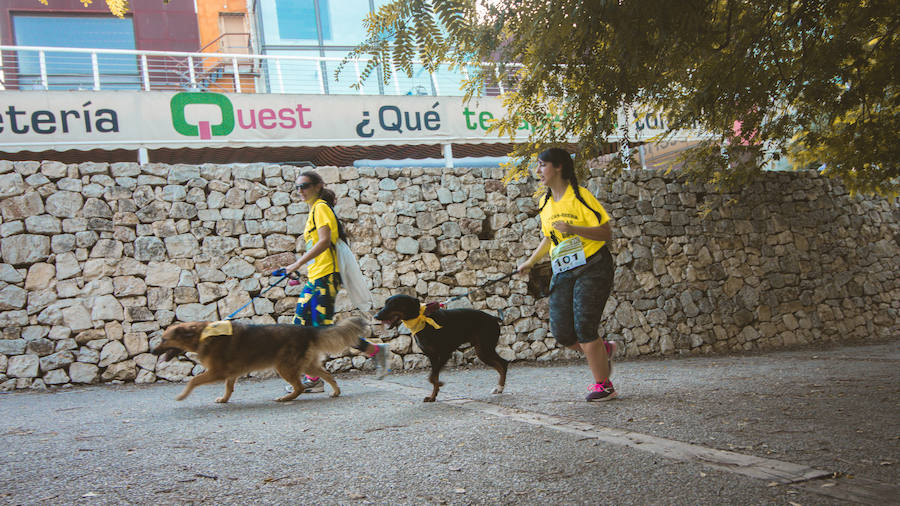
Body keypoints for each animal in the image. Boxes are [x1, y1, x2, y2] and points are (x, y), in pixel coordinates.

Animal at [151, 316, 370, 404]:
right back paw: (336, 391)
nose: (153, 351)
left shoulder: (217, 372)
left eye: (164, 340)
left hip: (284, 366)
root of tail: (307, 329)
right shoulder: (230, 374)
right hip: (306, 365)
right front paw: (224, 399)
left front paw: (182, 396)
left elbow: (193, 380)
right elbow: (229, 388)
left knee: (299, 387)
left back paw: (286, 398)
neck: (202, 335)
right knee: (328, 375)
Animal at [374, 294, 510, 402]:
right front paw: (433, 396)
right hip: (482, 351)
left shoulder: (445, 353)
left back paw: (500, 387)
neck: (422, 320)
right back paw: (499, 388)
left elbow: (432, 377)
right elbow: (433, 376)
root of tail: (493, 318)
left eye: (393, 304)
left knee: (504, 363)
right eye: (385, 303)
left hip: (486, 348)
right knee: (500, 365)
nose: (375, 316)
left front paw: (439, 384)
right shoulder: (432, 356)